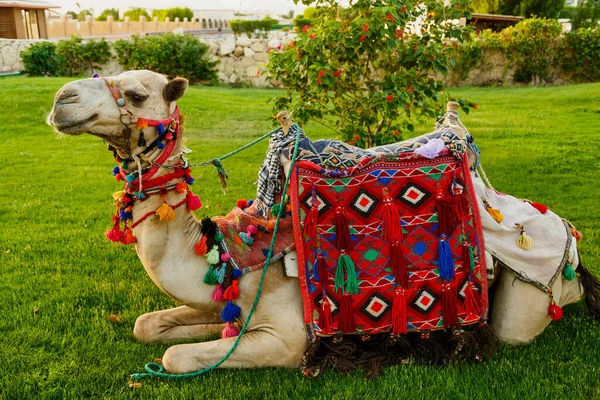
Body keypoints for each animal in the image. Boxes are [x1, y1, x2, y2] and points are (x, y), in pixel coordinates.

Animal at [49, 70, 596, 374]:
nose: (61, 100)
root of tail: (568, 235)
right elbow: (148, 326)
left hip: (528, 294)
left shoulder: (287, 338)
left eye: (137, 94)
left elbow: (174, 358)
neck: (223, 253)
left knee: (515, 326)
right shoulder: (227, 304)